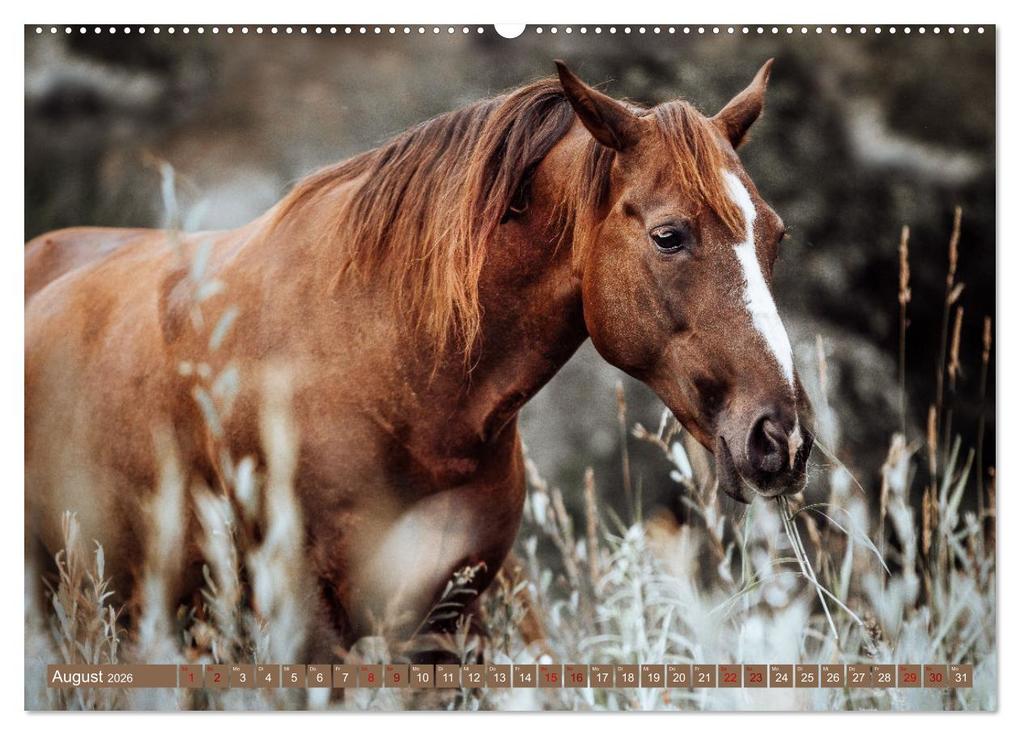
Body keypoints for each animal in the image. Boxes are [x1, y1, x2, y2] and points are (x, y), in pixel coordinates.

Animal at [25, 60, 813, 659]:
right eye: (669, 235)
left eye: (775, 235)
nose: (781, 437)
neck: (392, 375)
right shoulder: (310, 622)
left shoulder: (446, 621)